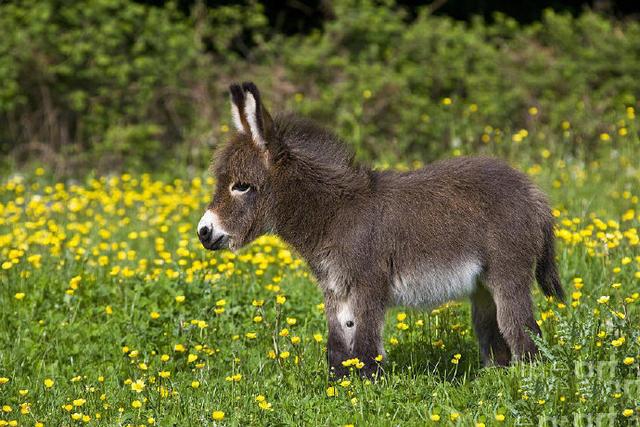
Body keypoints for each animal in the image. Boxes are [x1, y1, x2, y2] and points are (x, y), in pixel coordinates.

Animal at [198, 82, 564, 380]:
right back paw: (496, 380)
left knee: (523, 333)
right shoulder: (335, 289)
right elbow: (338, 346)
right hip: (482, 286)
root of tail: (531, 190)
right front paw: (339, 388)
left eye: (242, 186)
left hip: (508, 274)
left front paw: (368, 388)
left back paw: (526, 387)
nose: (204, 231)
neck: (334, 214)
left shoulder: (368, 285)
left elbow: (366, 346)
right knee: (496, 337)